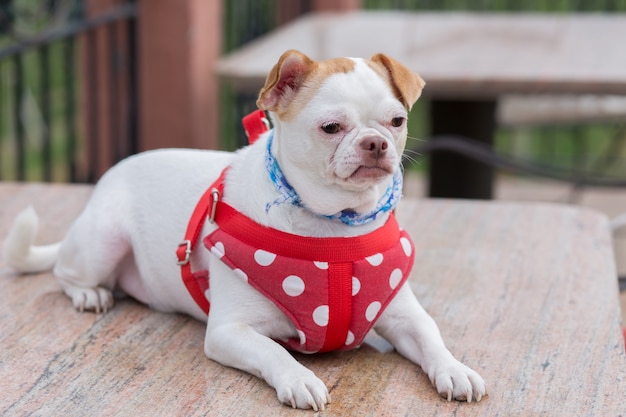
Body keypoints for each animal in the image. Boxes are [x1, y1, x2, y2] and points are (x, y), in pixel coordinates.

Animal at [2, 49, 486, 410]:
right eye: (331, 127)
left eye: (397, 121)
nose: (375, 142)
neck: (334, 226)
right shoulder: (230, 331)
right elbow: (273, 349)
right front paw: (298, 378)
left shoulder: (405, 316)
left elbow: (432, 339)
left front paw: (455, 369)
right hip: (103, 239)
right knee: (65, 273)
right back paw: (88, 293)